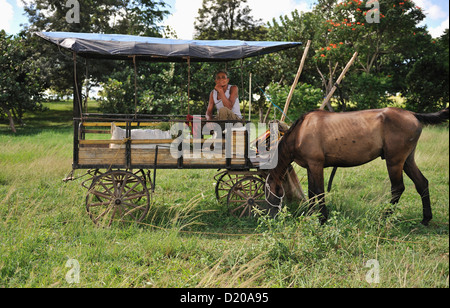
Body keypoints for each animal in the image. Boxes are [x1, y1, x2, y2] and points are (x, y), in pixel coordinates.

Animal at [266, 107, 448, 225]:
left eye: (268, 191)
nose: (268, 216)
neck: (301, 132)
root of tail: (412, 114)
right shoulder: (310, 167)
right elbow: (311, 193)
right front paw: (311, 216)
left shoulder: (316, 165)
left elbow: (319, 191)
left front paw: (322, 218)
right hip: (407, 160)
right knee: (421, 183)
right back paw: (425, 219)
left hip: (394, 161)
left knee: (398, 188)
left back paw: (384, 217)